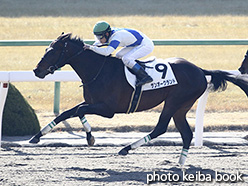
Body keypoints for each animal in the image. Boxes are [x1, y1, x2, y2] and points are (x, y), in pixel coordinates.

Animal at [30, 33, 248, 166]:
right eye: (46, 50)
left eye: (52, 51)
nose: (36, 70)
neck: (98, 70)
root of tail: (200, 70)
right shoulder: (94, 103)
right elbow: (69, 112)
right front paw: (38, 136)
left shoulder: (107, 109)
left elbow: (78, 111)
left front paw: (90, 137)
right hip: (181, 107)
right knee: (186, 134)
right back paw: (180, 164)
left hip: (175, 102)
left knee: (161, 128)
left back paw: (126, 149)